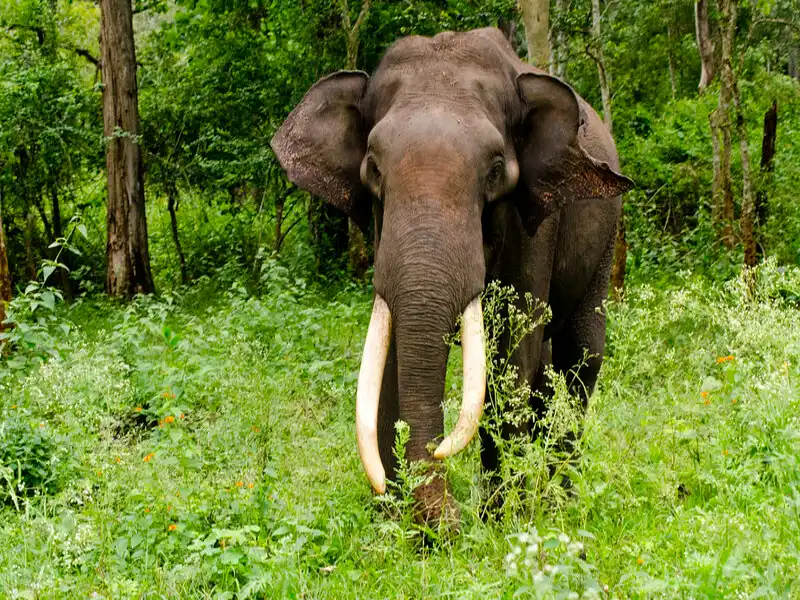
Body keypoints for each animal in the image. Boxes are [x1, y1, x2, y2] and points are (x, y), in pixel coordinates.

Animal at [272, 28, 636, 524]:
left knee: (580, 359)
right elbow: (393, 358)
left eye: (496, 169)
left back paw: (559, 501)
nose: (449, 517)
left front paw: (500, 520)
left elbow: (510, 356)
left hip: (605, 236)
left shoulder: (534, 222)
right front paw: (397, 523)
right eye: (373, 168)